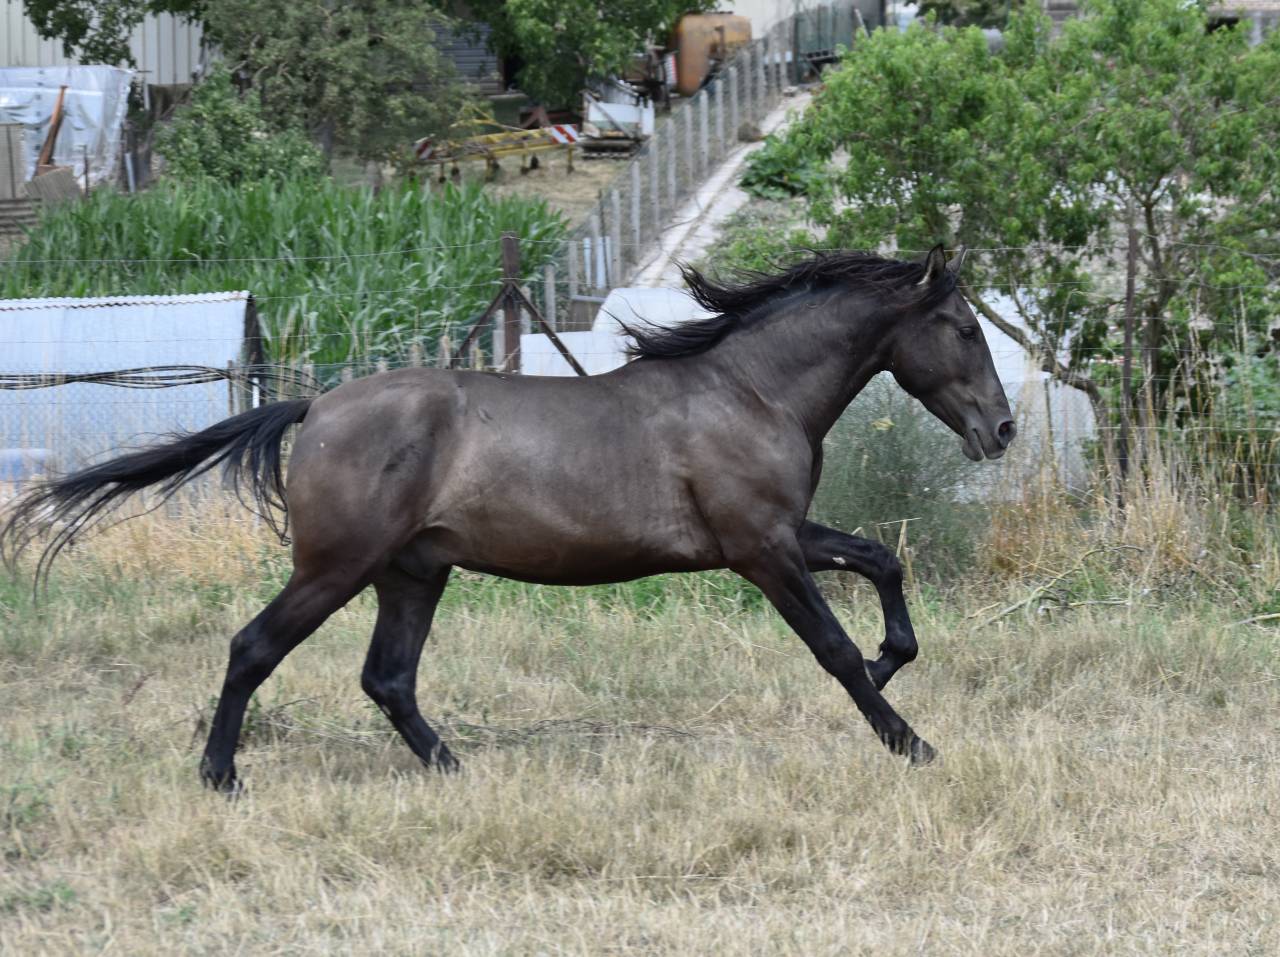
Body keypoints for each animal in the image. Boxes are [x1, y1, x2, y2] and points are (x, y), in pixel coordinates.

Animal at [1, 244, 1014, 790]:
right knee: (255, 647)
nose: (1001, 429)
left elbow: (882, 560)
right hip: (335, 568)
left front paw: (892, 665)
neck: (748, 388)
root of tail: (315, 407)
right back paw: (222, 777)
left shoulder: (779, 534)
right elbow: (832, 646)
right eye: (965, 327)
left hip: (414, 571)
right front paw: (911, 740)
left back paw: (454, 769)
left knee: (388, 678)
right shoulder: (760, 549)